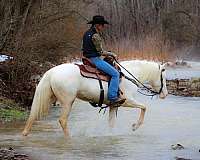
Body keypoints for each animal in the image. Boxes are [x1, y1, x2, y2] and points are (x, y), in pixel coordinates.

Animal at [21, 59, 168, 137]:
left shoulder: (114, 105)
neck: (128, 76)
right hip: (68, 101)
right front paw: (134, 127)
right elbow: (144, 107)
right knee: (62, 120)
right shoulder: (127, 101)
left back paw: (25, 133)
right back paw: (69, 138)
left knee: (33, 115)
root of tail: (52, 71)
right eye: (164, 78)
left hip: (50, 98)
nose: (165, 94)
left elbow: (111, 123)